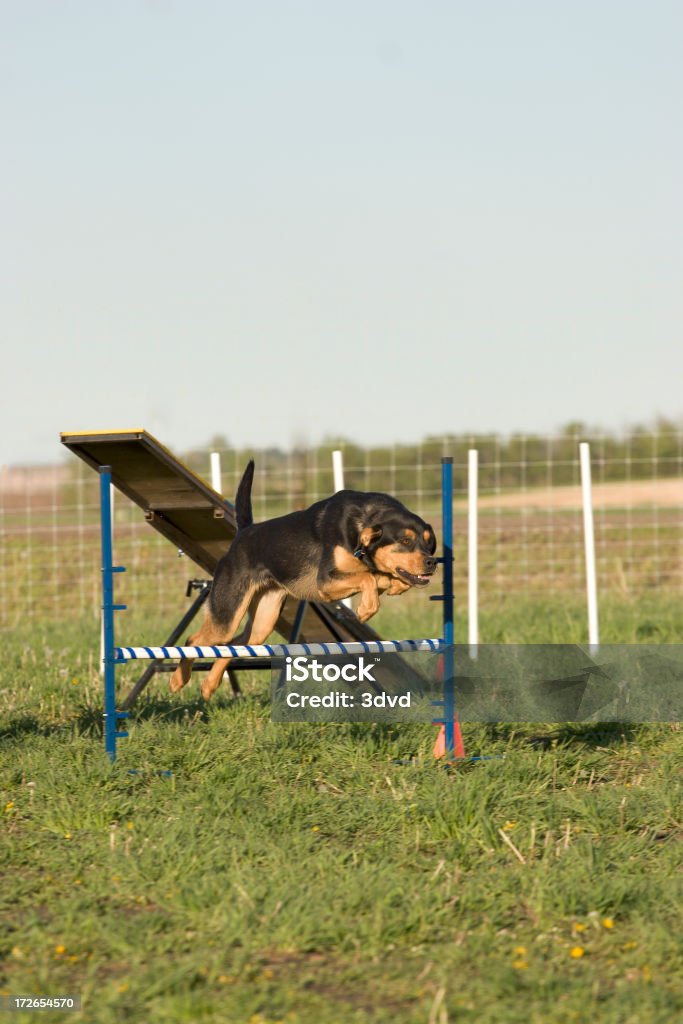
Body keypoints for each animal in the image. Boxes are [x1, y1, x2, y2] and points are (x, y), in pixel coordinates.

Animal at [171, 460, 438, 700]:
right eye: (405, 540)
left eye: (428, 542)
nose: (432, 562)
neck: (362, 522)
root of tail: (243, 533)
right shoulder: (326, 581)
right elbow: (367, 579)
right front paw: (365, 609)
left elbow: (379, 577)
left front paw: (393, 587)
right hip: (228, 612)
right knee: (194, 640)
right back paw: (178, 680)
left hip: (262, 623)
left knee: (232, 647)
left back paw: (208, 686)